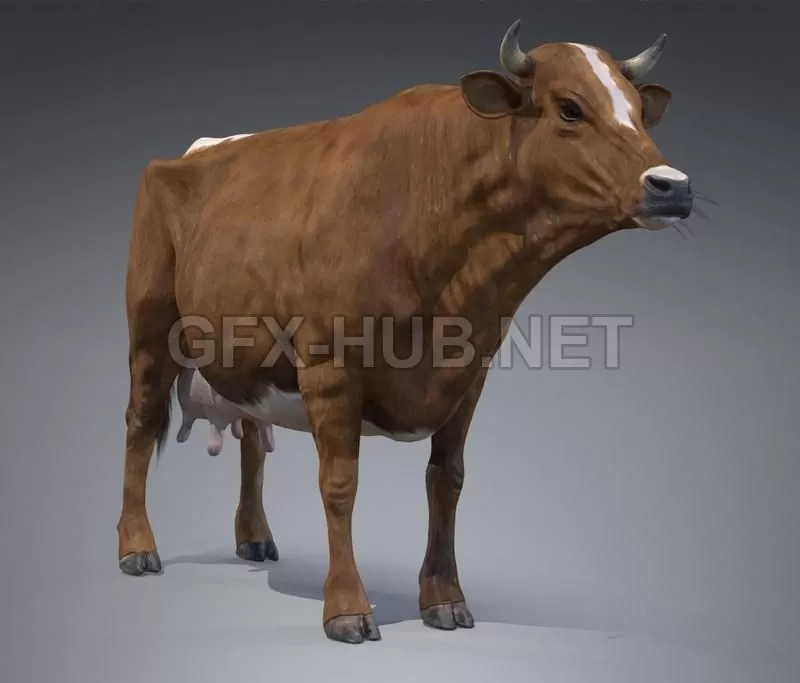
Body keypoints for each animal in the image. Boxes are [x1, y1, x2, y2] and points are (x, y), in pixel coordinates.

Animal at [117, 19, 694, 644]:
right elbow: (339, 484)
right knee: (140, 422)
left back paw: (254, 537)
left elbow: (448, 481)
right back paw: (136, 548)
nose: (673, 185)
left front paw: (445, 599)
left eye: (638, 110)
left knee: (251, 433)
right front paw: (346, 608)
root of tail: (198, 148)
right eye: (569, 107)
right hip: (150, 328)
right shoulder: (330, 366)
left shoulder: (470, 373)